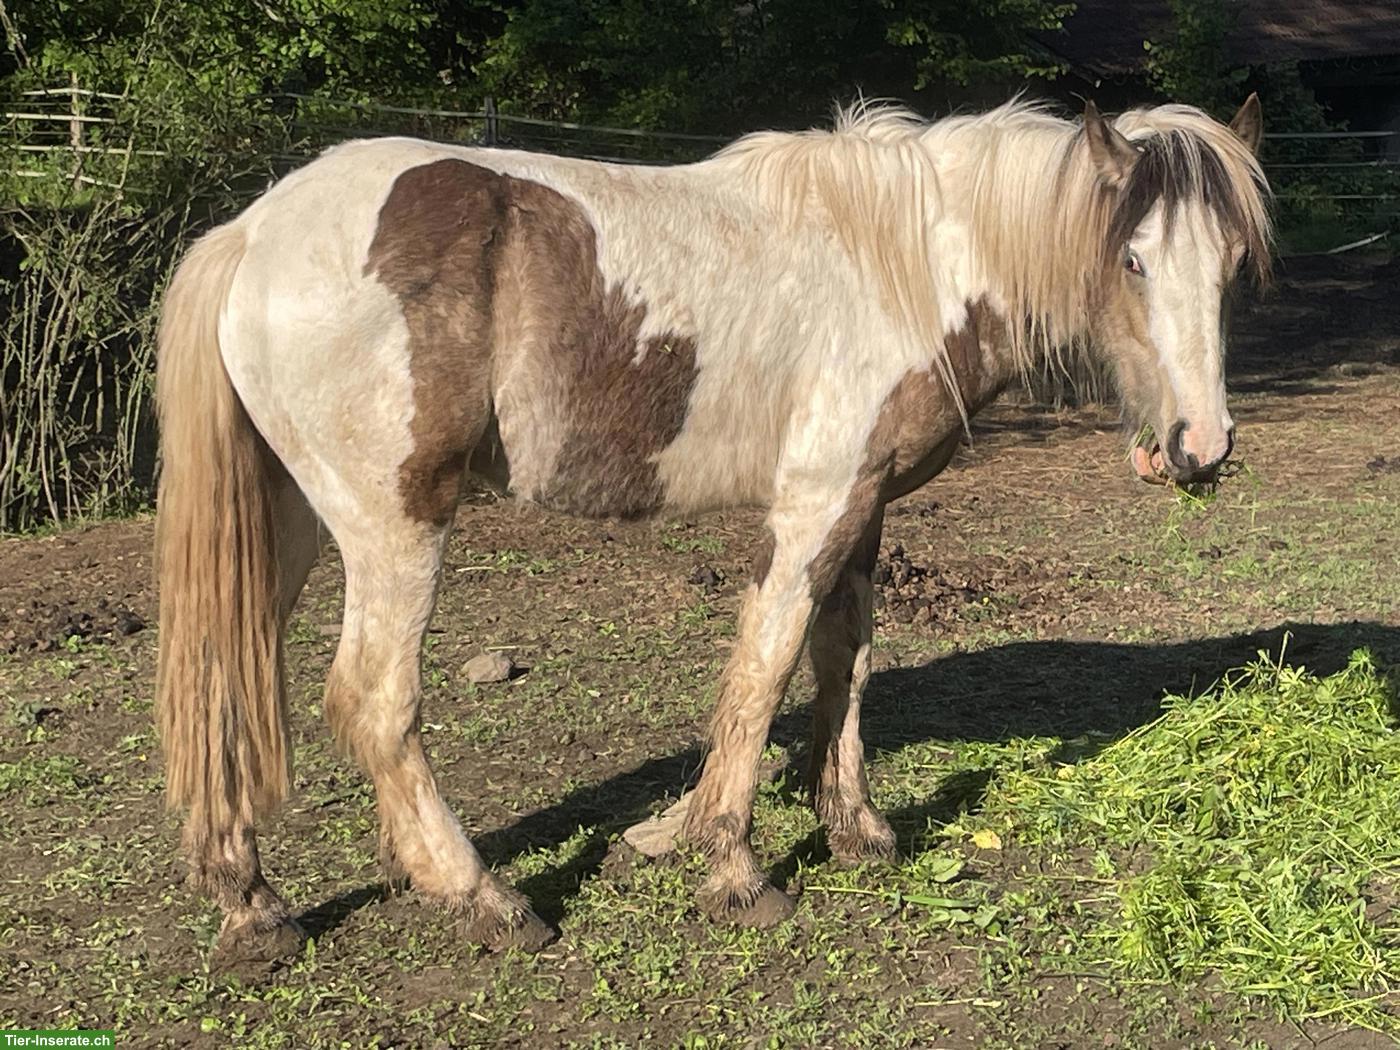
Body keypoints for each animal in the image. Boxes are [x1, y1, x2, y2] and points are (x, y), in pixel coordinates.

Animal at [154, 94, 1271, 964]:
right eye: (1131, 261)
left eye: (1230, 265)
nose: (1199, 446)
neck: (901, 262)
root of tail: (252, 233)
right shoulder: (815, 503)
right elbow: (764, 669)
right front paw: (731, 868)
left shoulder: (863, 507)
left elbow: (842, 659)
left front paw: (848, 828)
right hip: (394, 526)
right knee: (375, 703)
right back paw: (483, 899)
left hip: (287, 524)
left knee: (222, 684)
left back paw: (253, 911)